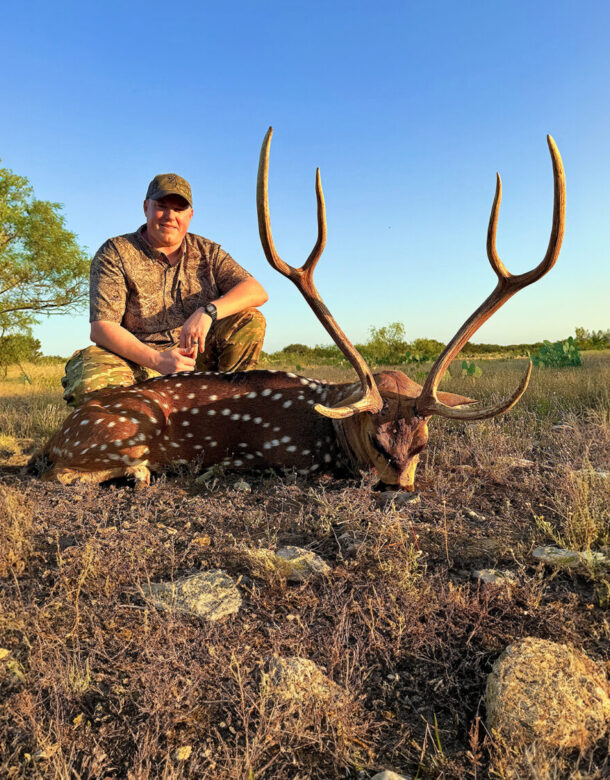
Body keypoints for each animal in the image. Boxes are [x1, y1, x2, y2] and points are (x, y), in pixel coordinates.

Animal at [37, 128, 565, 490]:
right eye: (377, 439)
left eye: (423, 444)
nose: (398, 489)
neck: (332, 430)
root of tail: (57, 437)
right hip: (125, 427)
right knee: (68, 471)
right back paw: (143, 472)